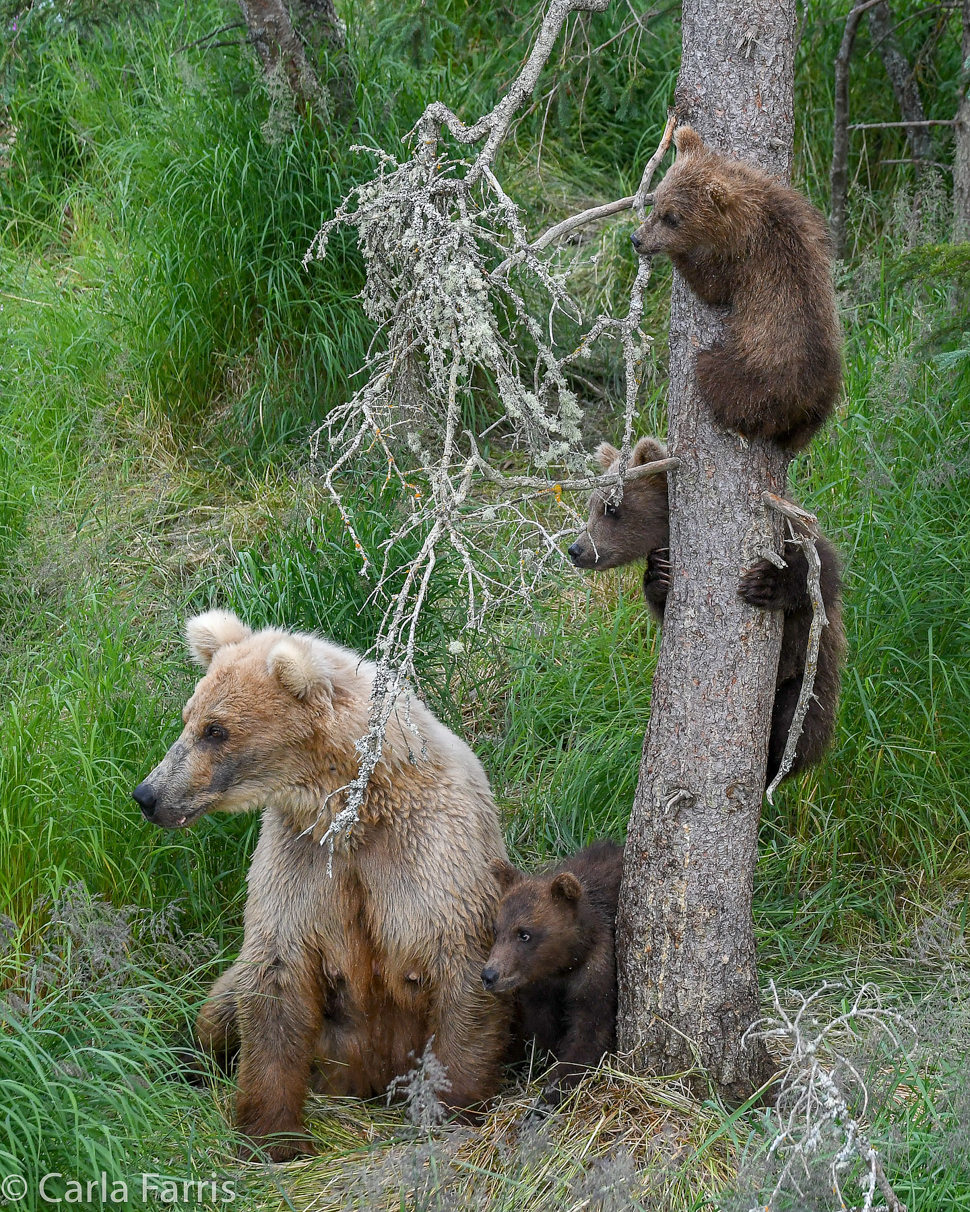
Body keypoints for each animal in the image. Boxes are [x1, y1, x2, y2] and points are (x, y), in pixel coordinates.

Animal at [137, 610, 514, 1158]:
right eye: (190, 717)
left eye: (216, 729)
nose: (148, 794)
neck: (353, 811)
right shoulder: (304, 859)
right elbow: (275, 972)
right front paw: (273, 1135)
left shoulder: (430, 851)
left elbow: (461, 962)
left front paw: (453, 1107)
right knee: (222, 1003)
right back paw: (185, 1062)